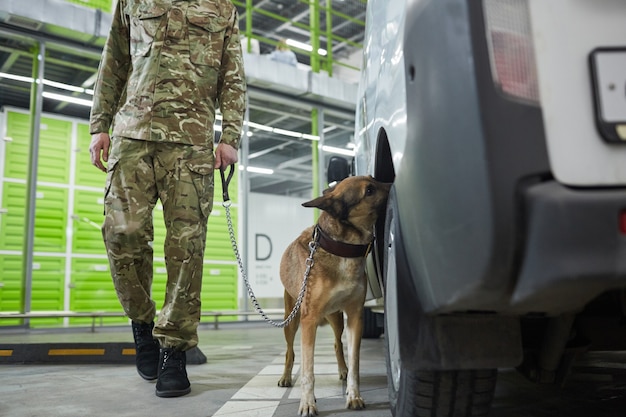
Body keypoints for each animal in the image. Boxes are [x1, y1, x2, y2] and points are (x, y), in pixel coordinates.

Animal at [276, 176, 388, 416]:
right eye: (369, 190)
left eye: (374, 180)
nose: (393, 183)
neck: (342, 248)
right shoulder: (308, 321)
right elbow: (308, 371)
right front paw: (307, 403)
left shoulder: (355, 316)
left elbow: (354, 363)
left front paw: (354, 396)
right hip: (292, 320)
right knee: (290, 352)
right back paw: (286, 377)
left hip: (337, 319)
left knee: (337, 345)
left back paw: (342, 371)